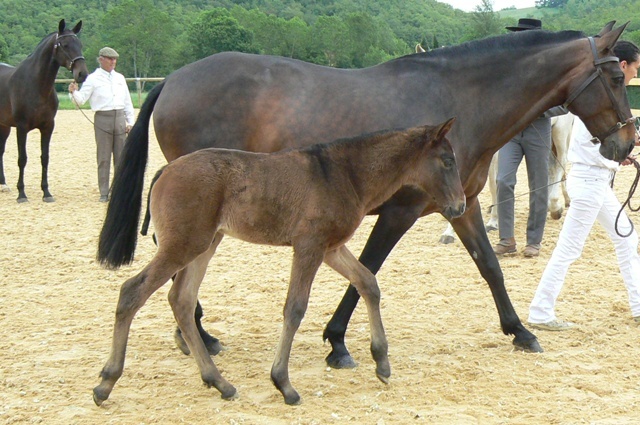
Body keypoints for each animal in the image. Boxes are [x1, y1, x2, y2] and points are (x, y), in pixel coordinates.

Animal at [0, 20, 88, 203]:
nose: (82, 74)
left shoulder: (48, 126)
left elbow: (45, 158)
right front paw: (22, 194)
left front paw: (46, 192)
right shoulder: (21, 128)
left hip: (4, 126)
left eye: (80, 45)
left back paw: (3, 185)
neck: (35, 85)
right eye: (65, 45)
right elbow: (22, 159)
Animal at [92, 120, 464, 404]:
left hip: (206, 244)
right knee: (132, 292)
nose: (460, 206)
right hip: (184, 245)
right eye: (446, 160)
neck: (345, 173)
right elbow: (295, 308)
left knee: (181, 300)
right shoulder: (309, 246)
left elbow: (368, 283)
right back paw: (106, 382)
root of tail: (165, 169)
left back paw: (219, 382)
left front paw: (382, 363)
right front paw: (283, 383)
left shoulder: (331, 248)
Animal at [96, 22, 636, 364]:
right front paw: (337, 343)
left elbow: (489, 266)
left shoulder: (459, 207)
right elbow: (368, 271)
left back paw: (197, 336)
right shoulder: (398, 213)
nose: (626, 144)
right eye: (615, 77)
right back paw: (199, 337)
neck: (461, 101)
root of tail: (174, 80)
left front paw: (520, 332)